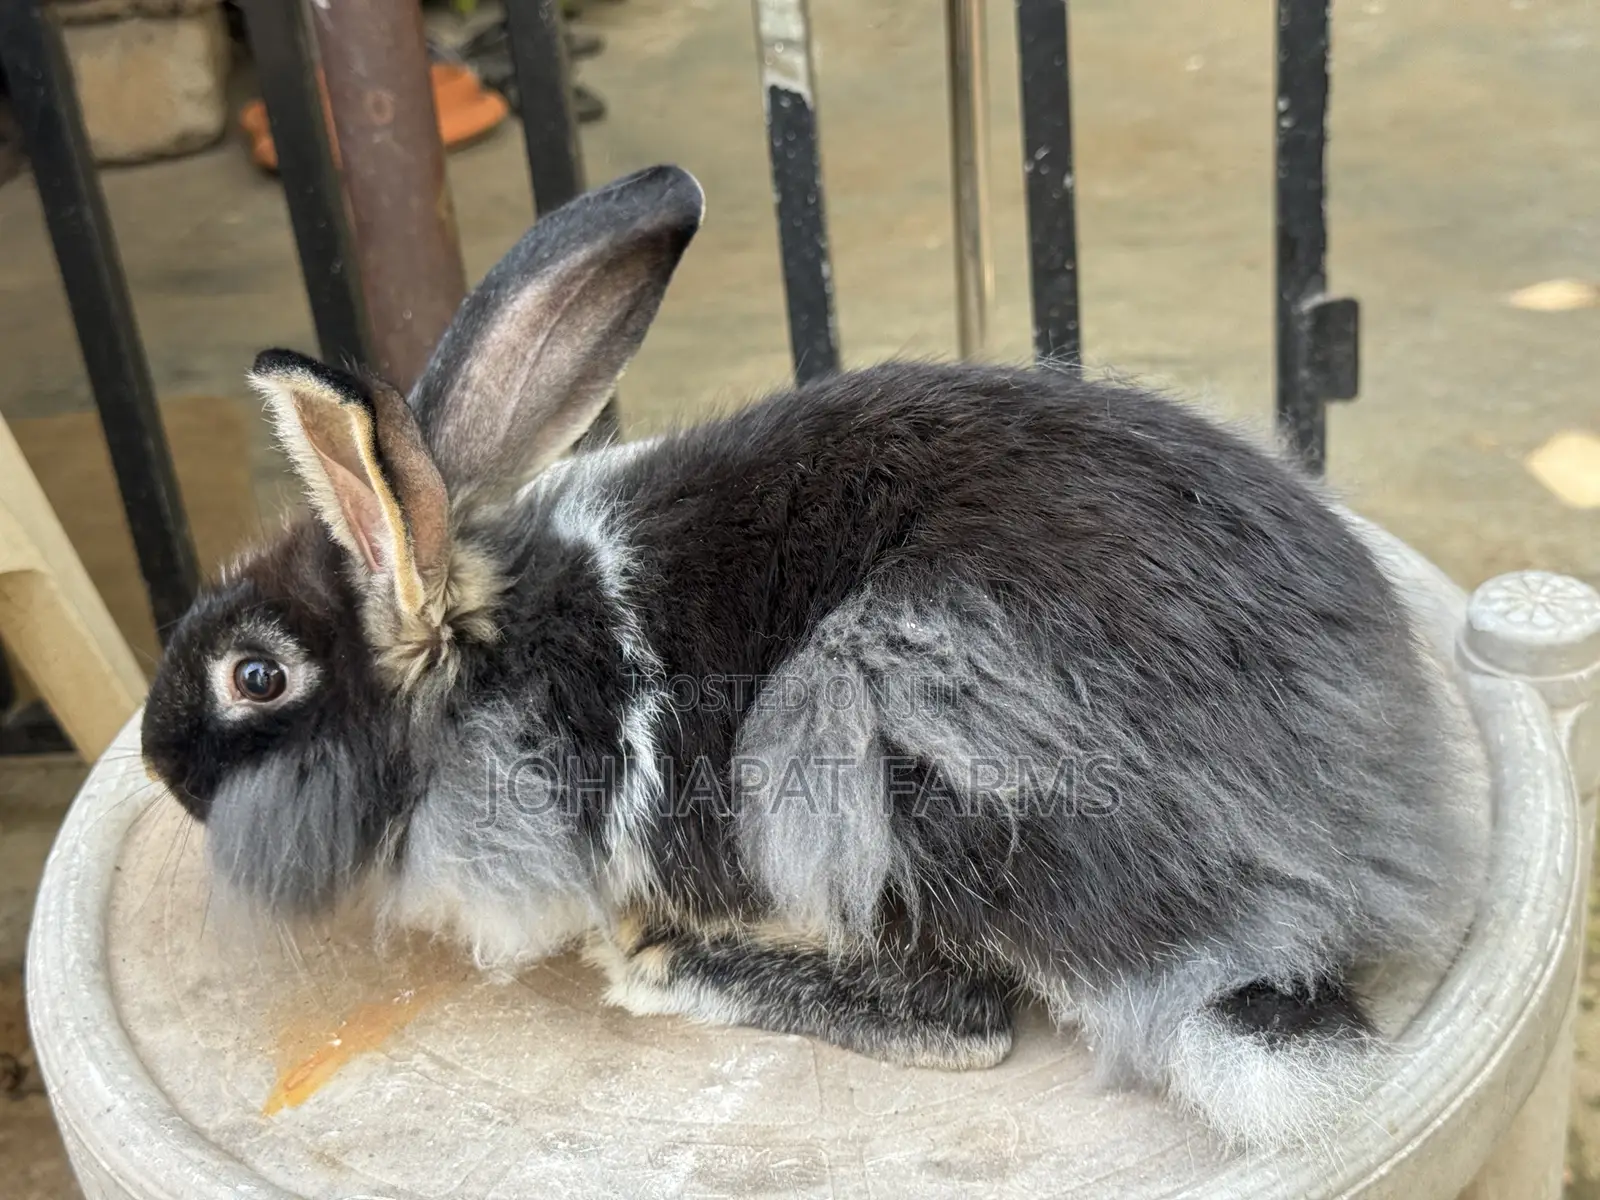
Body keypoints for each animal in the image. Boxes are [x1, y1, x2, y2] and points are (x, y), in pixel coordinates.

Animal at [140, 163, 1488, 1152]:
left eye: (256, 676)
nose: (156, 762)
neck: (500, 666)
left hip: (879, 719)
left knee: (968, 1015)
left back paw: (668, 964)